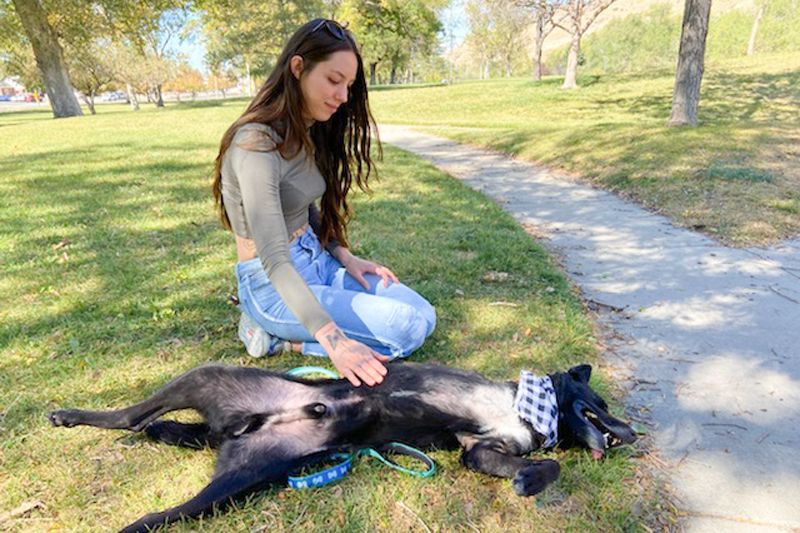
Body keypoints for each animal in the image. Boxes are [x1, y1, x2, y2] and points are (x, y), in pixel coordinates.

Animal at [48, 360, 636, 528]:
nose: (630, 434)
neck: (526, 407)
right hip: (201, 378)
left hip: (236, 482)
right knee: (128, 417)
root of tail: (243, 425)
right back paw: (71, 415)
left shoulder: (477, 448)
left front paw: (531, 478)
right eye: (601, 401)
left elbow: (538, 466)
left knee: (155, 498)